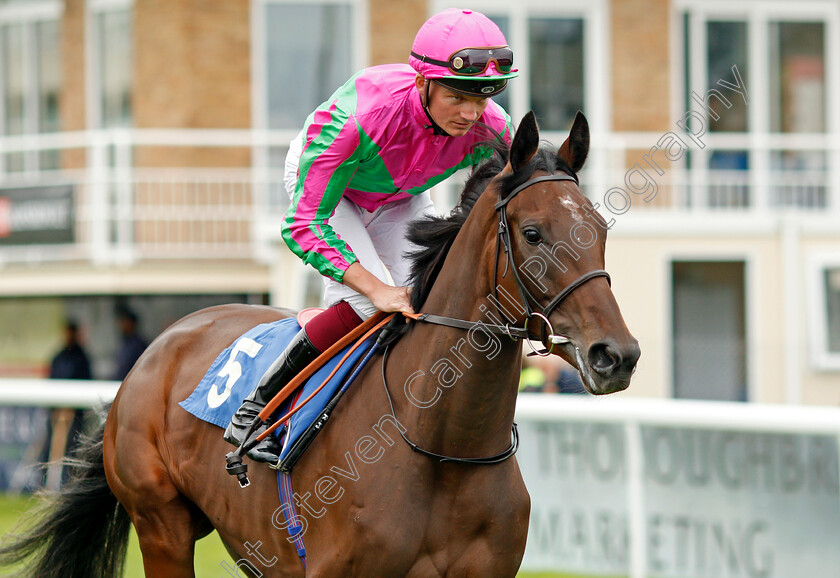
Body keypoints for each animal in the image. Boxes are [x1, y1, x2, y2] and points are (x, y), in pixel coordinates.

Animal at [0, 110, 640, 572]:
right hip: (162, 526)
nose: (617, 355)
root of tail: (159, 345)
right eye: (532, 233)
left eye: (599, 229)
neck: (442, 446)